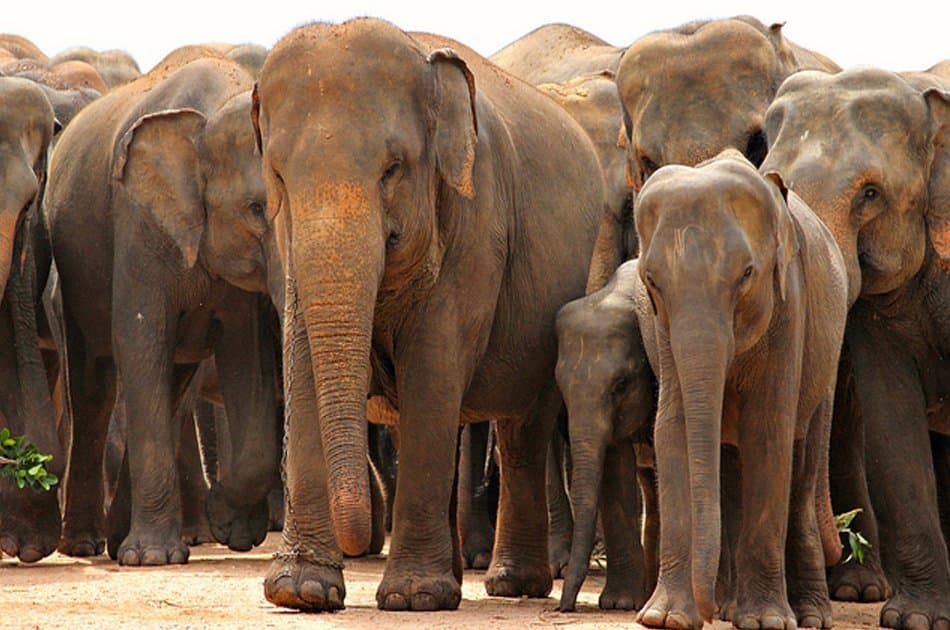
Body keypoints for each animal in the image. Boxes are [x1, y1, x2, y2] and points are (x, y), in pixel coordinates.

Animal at [44, 54, 280, 565]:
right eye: (256, 208)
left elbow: (246, 356)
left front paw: (229, 525)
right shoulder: (139, 221)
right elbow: (139, 338)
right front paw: (153, 558)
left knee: (168, 387)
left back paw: (117, 540)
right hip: (73, 277)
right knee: (95, 391)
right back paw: (88, 544)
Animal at [253, 18, 604, 612]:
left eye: (393, 169)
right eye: (277, 176)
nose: (360, 543)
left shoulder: (475, 224)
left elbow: (431, 371)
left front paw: (414, 598)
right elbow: (303, 370)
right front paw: (302, 592)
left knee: (522, 430)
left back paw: (511, 585)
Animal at [634, 150, 847, 629]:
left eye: (747, 274)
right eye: (651, 280)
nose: (707, 612)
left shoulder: (789, 305)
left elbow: (767, 433)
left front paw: (767, 621)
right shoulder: (664, 331)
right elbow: (672, 430)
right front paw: (665, 618)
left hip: (825, 367)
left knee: (803, 466)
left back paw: (809, 615)